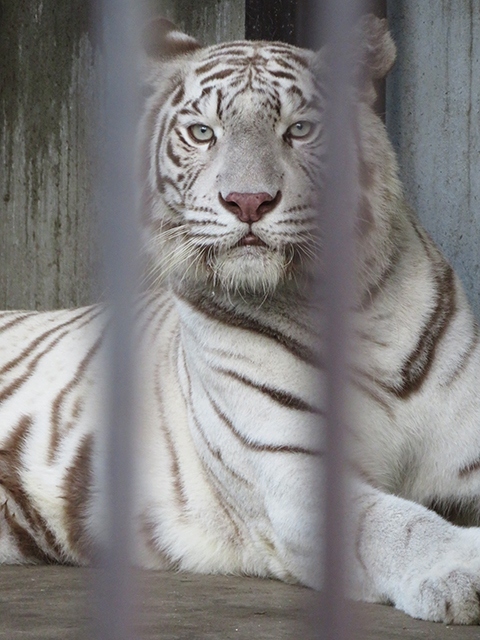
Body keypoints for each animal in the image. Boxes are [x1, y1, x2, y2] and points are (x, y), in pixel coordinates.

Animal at [0, 15, 480, 624]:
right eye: (203, 133)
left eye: (300, 129)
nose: (248, 201)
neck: (362, 313)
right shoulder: (296, 472)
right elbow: (401, 525)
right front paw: (461, 567)